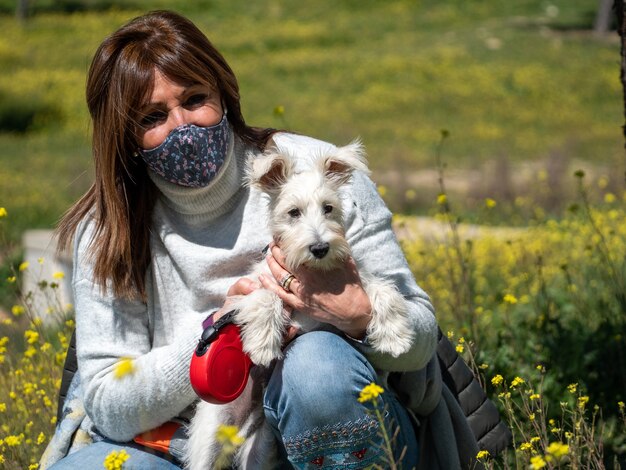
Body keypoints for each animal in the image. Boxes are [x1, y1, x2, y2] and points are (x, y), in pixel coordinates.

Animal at [185, 140, 414, 470]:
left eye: (328, 208)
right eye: (293, 212)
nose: (320, 248)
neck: (311, 270)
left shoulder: (356, 283)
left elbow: (384, 290)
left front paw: (395, 336)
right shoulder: (252, 289)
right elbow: (266, 298)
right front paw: (263, 344)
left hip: (261, 446)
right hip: (212, 432)